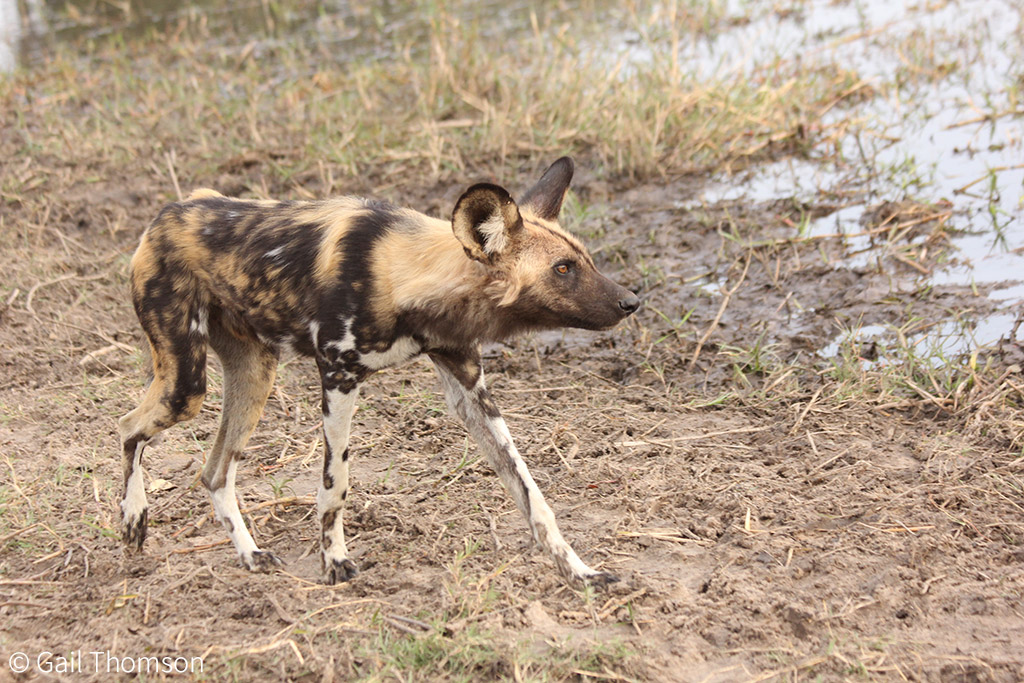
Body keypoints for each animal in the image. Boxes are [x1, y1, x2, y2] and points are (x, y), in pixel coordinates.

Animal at [117, 157, 630, 585]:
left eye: (585, 260)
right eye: (562, 269)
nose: (632, 301)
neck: (406, 272)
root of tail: (168, 212)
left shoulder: (469, 389)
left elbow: (531, 492)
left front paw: (579, 571)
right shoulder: (338, 377)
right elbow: (335, 486)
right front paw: (334, 562)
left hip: (254, 378)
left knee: (215, 472)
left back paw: (250, 554)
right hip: (186, 387)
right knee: (128, 427)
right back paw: (133, 518)